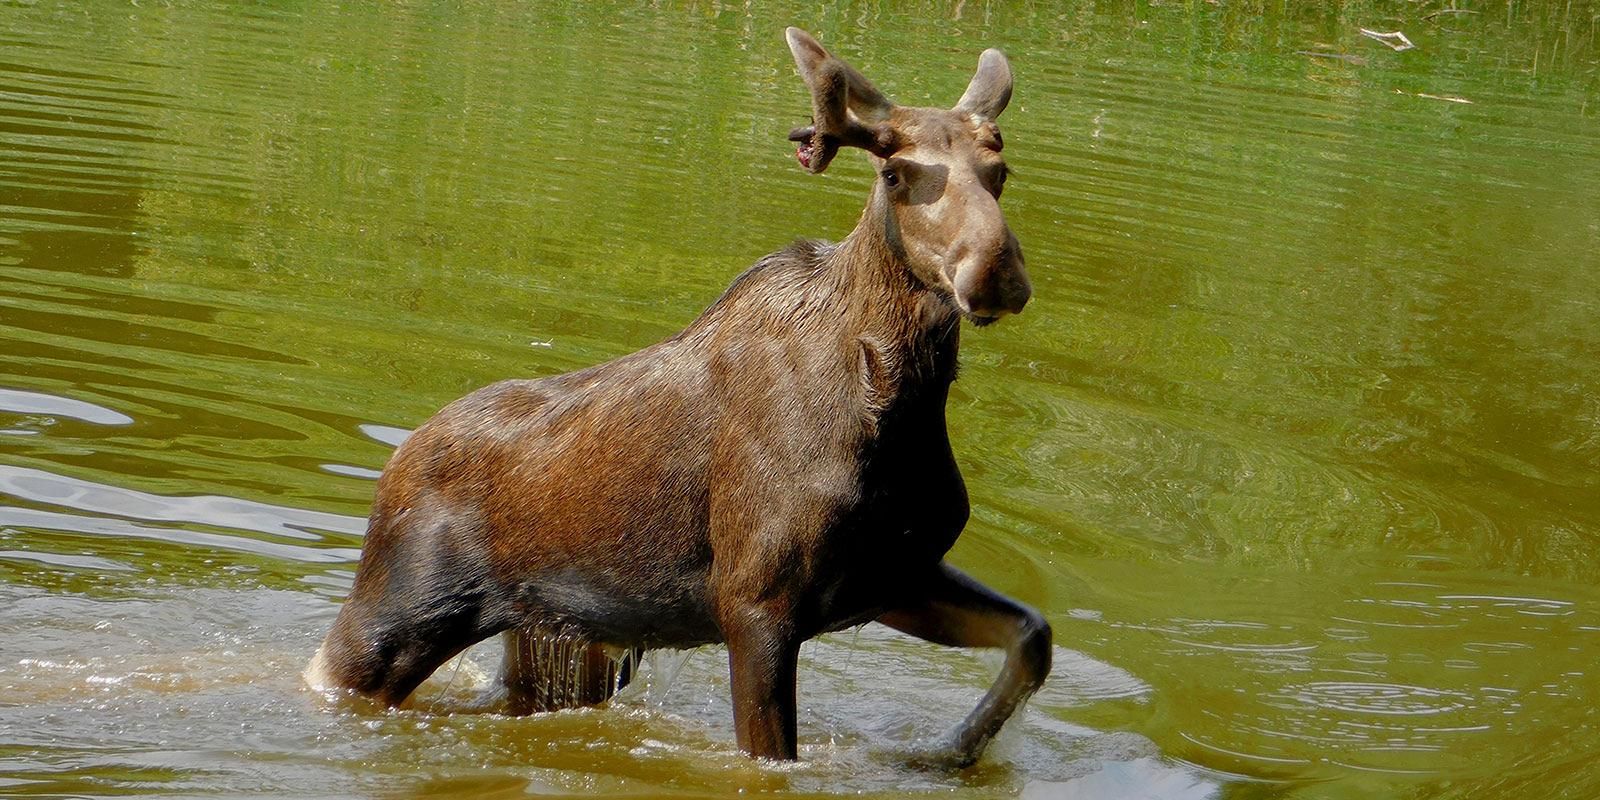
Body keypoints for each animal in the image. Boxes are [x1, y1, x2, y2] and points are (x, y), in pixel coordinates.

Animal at [305, 27, 1049, 768]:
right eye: (894, 175)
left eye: (1001, 173)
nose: (995, 272)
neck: (899, 405)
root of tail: (394, 463)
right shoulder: (758, 602)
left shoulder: (892, 576)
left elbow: (1033, 636)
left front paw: (949, 753)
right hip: (397, 617)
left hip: (555, 638)